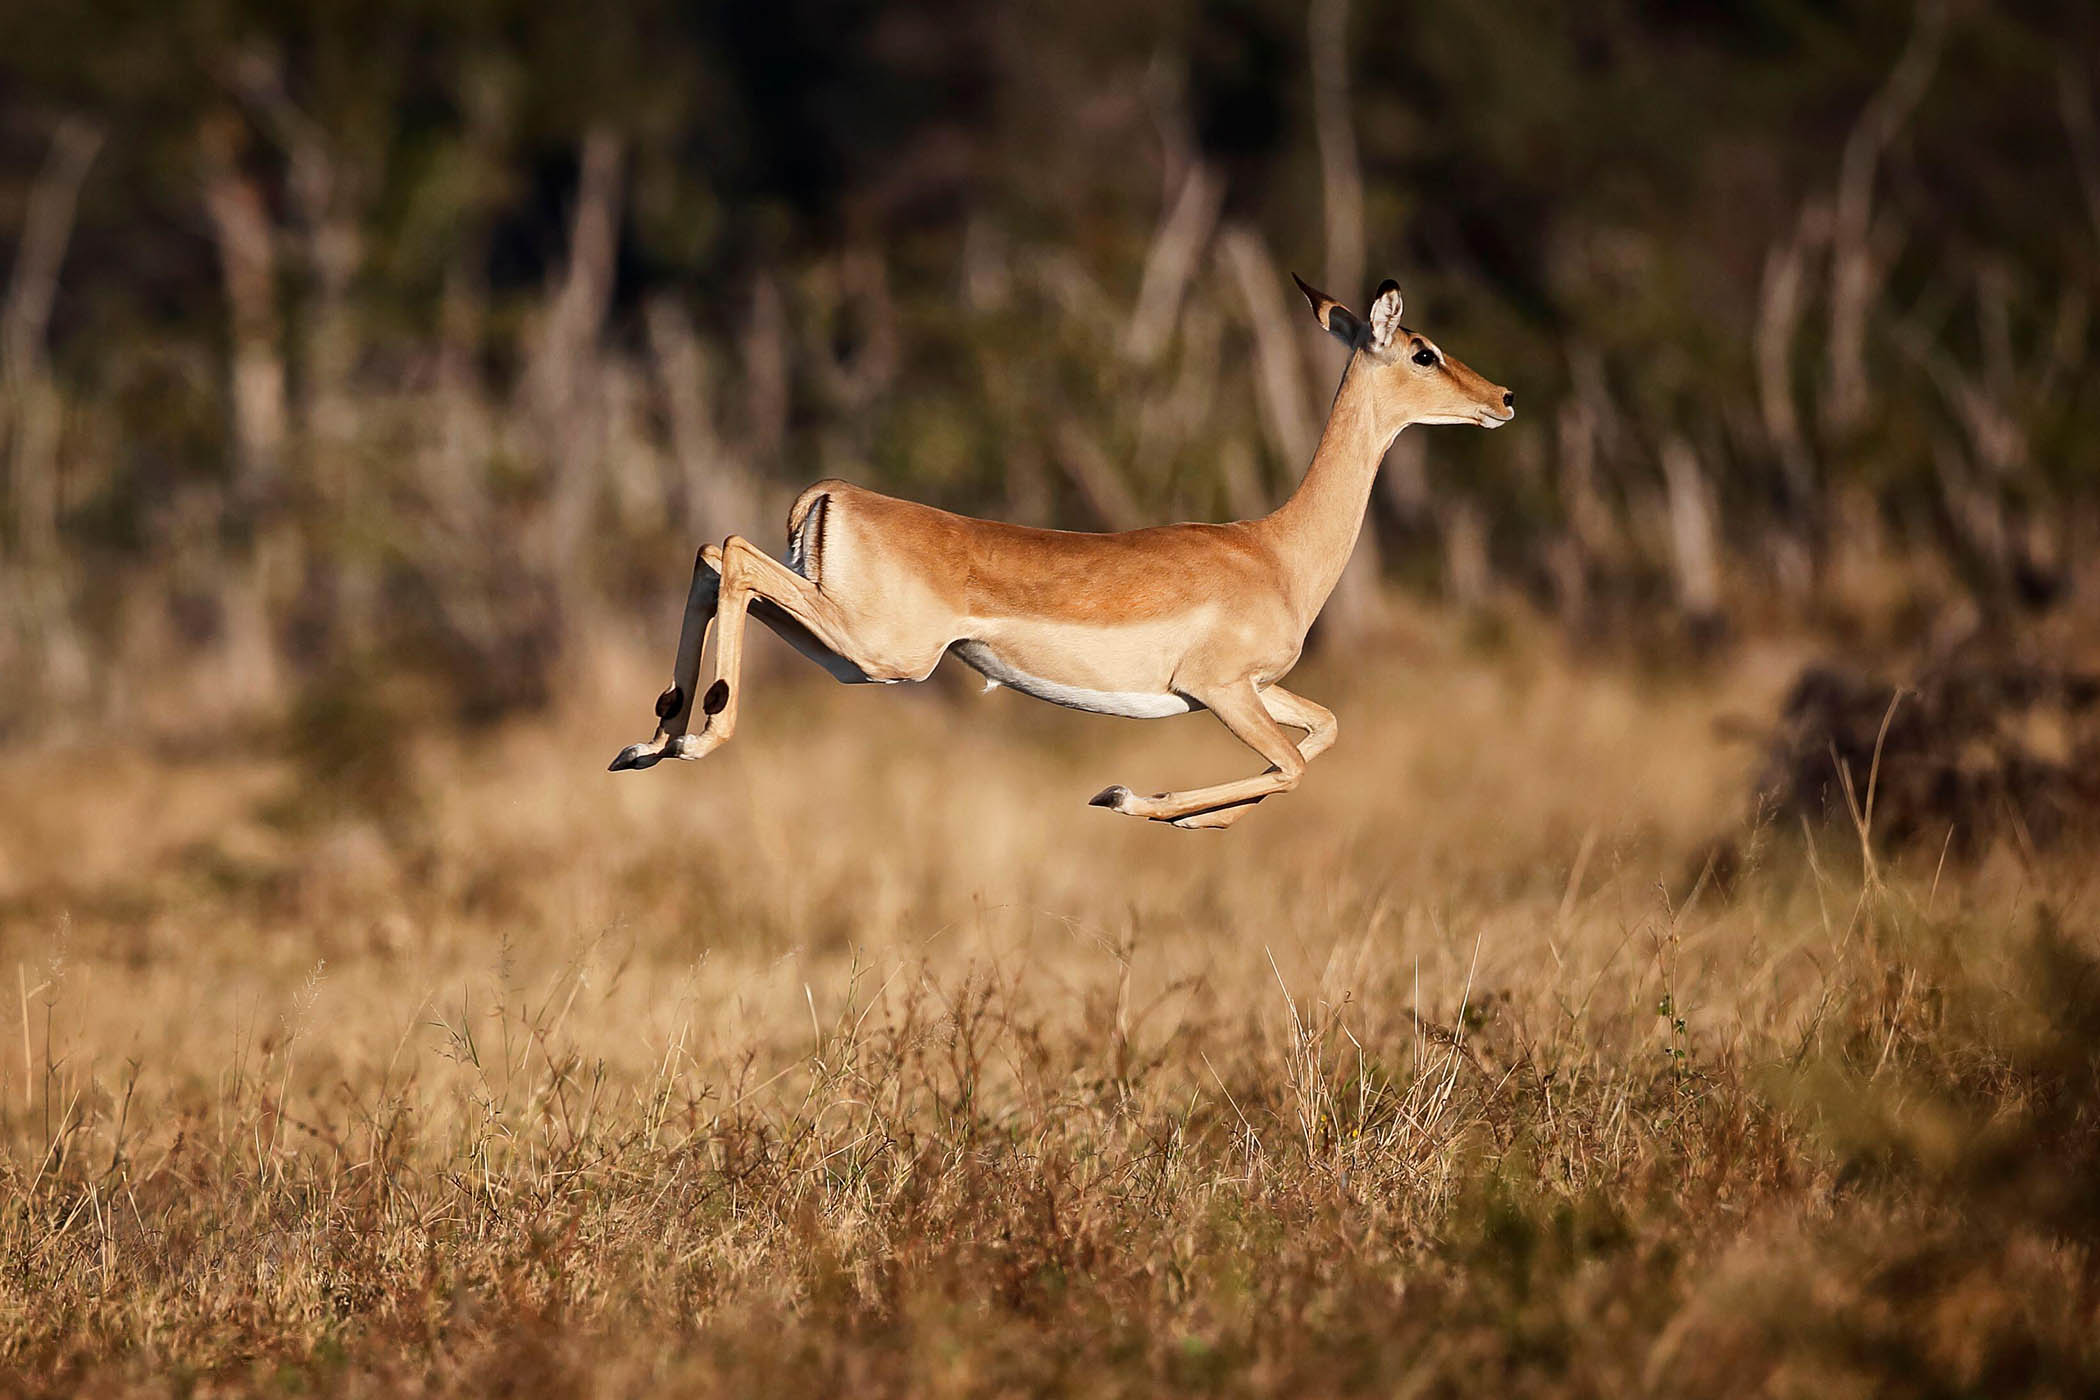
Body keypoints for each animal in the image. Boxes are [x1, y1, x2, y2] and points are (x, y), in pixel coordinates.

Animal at [610, 274, 1514, 829]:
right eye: (1424, 350)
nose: (1503, 397)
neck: (1275, 551)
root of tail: (829, 495)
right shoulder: (1220, 689)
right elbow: (1293, 764)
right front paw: (1123, 796)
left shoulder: (1256, 689)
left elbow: (1320, 732)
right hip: (883, 653)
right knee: (730, 550)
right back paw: (692, 739)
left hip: (848, 654)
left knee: (713, 555)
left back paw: (649, 742)